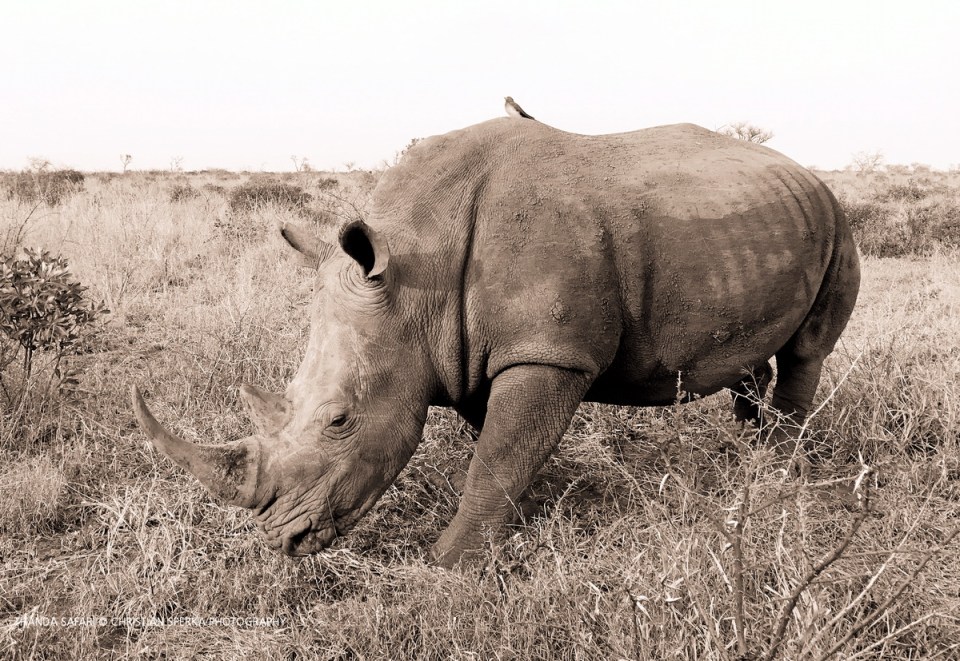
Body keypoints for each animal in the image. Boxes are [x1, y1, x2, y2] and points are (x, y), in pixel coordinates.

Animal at [132, 117, 860, 567]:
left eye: (339, 420)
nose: (282, 538)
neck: (416, 269)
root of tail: (807, 171)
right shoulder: (469, 349)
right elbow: (502, 445)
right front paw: (524, 518)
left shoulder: (547, 352)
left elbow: (499, 453)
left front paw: (445, 565)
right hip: (758, 227)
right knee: (751, 358)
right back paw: (746, 454)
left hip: (836, 221)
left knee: (807, 351)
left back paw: (779, 472)